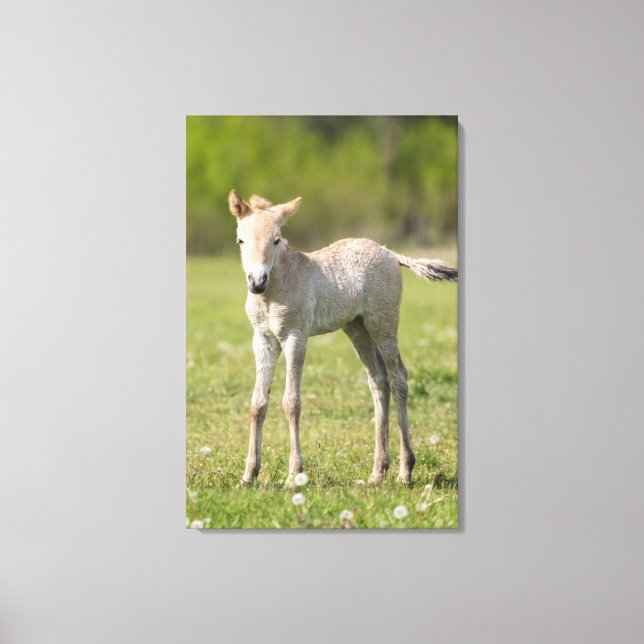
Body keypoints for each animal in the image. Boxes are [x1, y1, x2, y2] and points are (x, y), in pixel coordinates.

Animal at [228, 189, 457, 487]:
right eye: (240, 240)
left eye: (276, 240)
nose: (257, 281)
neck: (276, 289)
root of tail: (390, 253)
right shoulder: (263, 340)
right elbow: (257, 403)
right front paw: (248, 476)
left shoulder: (295, 337)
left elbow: (291, 402)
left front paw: (293, 475)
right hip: (357, 329)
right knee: (378, 380)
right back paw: (377, 472)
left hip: (382, 324)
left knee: (398, 378)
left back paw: (405, 471)